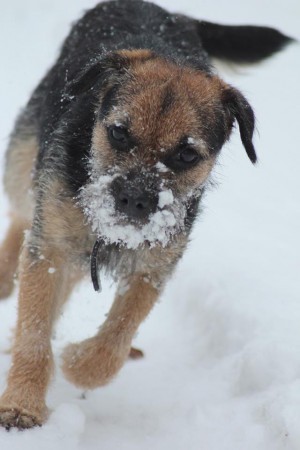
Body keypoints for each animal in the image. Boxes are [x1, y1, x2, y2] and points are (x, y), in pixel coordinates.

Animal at [0, 0, 292, 428]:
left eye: (186, 154)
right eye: (119, 133)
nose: (134, 200)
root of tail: (168, 11)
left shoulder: (154, 263)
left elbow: (116, 339)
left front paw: (77, 361)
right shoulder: (50, 247)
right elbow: (34, 330)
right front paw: (22, 404)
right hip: (26, 162)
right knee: (21, 213)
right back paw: (4, 278)